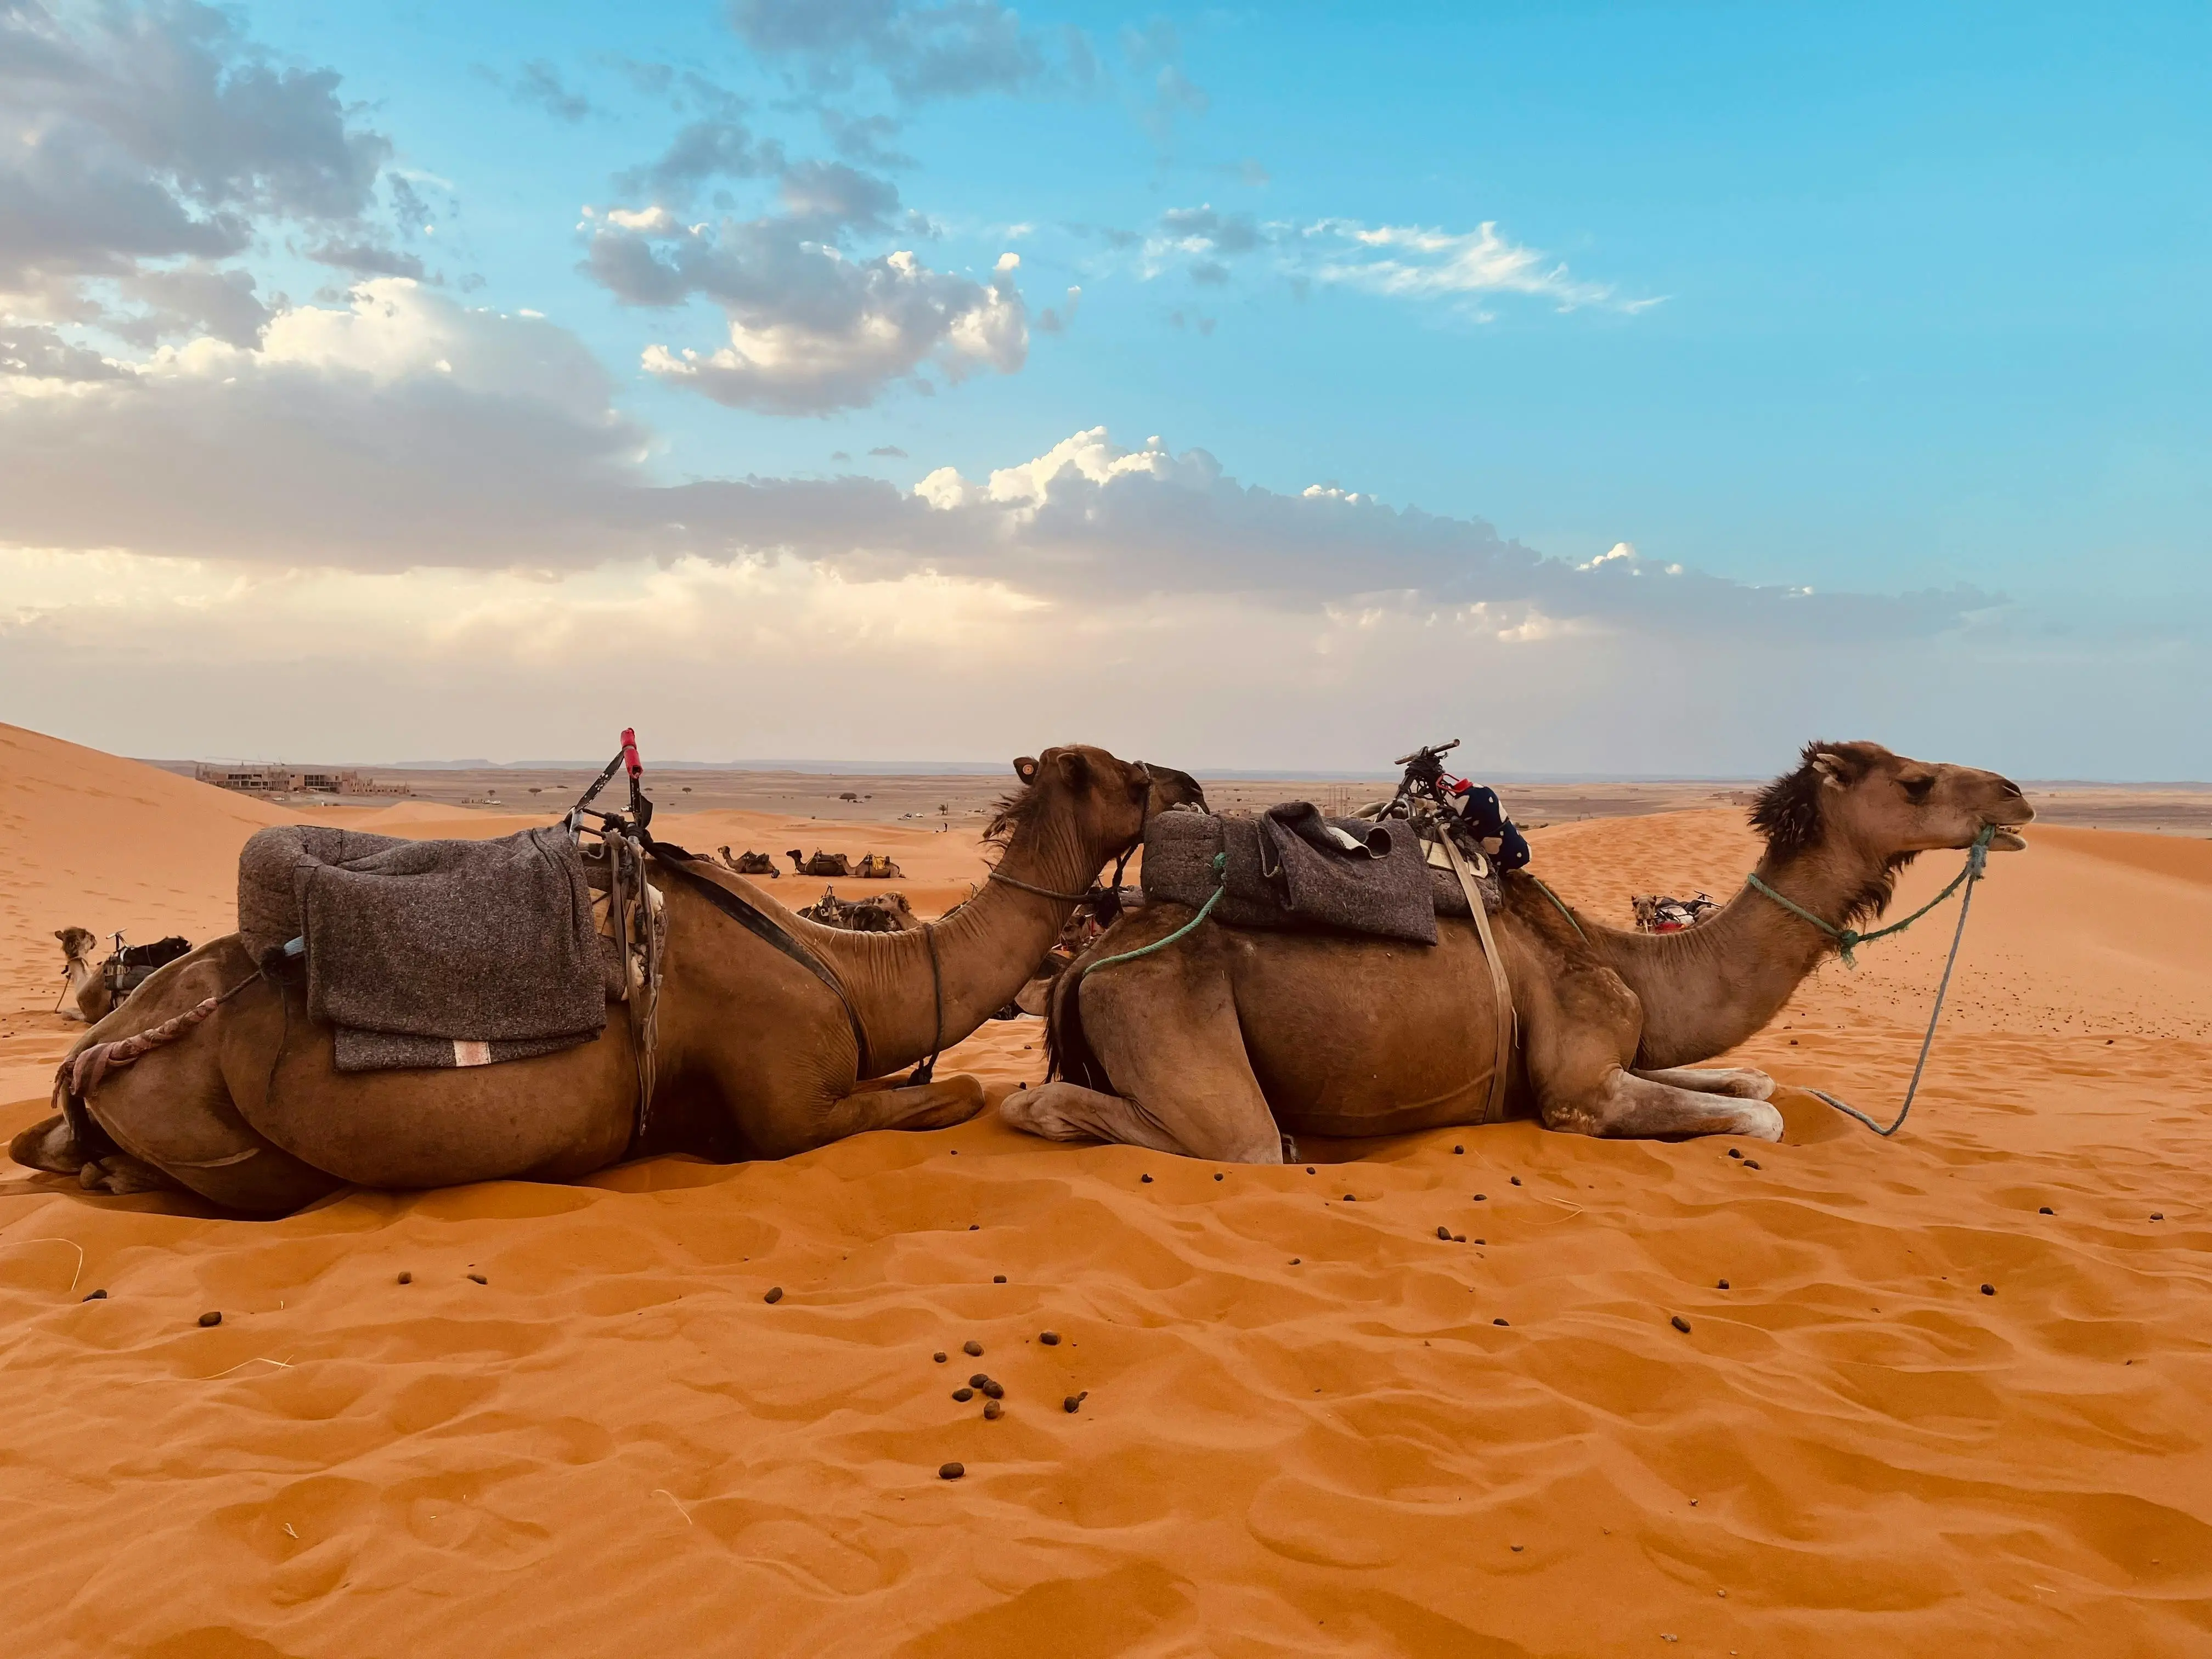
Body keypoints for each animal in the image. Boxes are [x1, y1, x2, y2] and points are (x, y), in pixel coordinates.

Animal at [14, 747, 1204, 1214]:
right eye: (1126, 772)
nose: (1193, 782)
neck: (857, 971)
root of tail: (91, 1051)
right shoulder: (787, 1103)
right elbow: (947, 1094)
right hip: (221, 1135)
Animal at [1005, 742, 2031, 1161]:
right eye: (1915, 779)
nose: (2016, 792)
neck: (1633, 960)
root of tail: (1090, 961)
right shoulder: (1580, 1090)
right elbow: (1765, 1117)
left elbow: (1760, 1081)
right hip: (1177, 1026)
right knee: (1207, 1133)